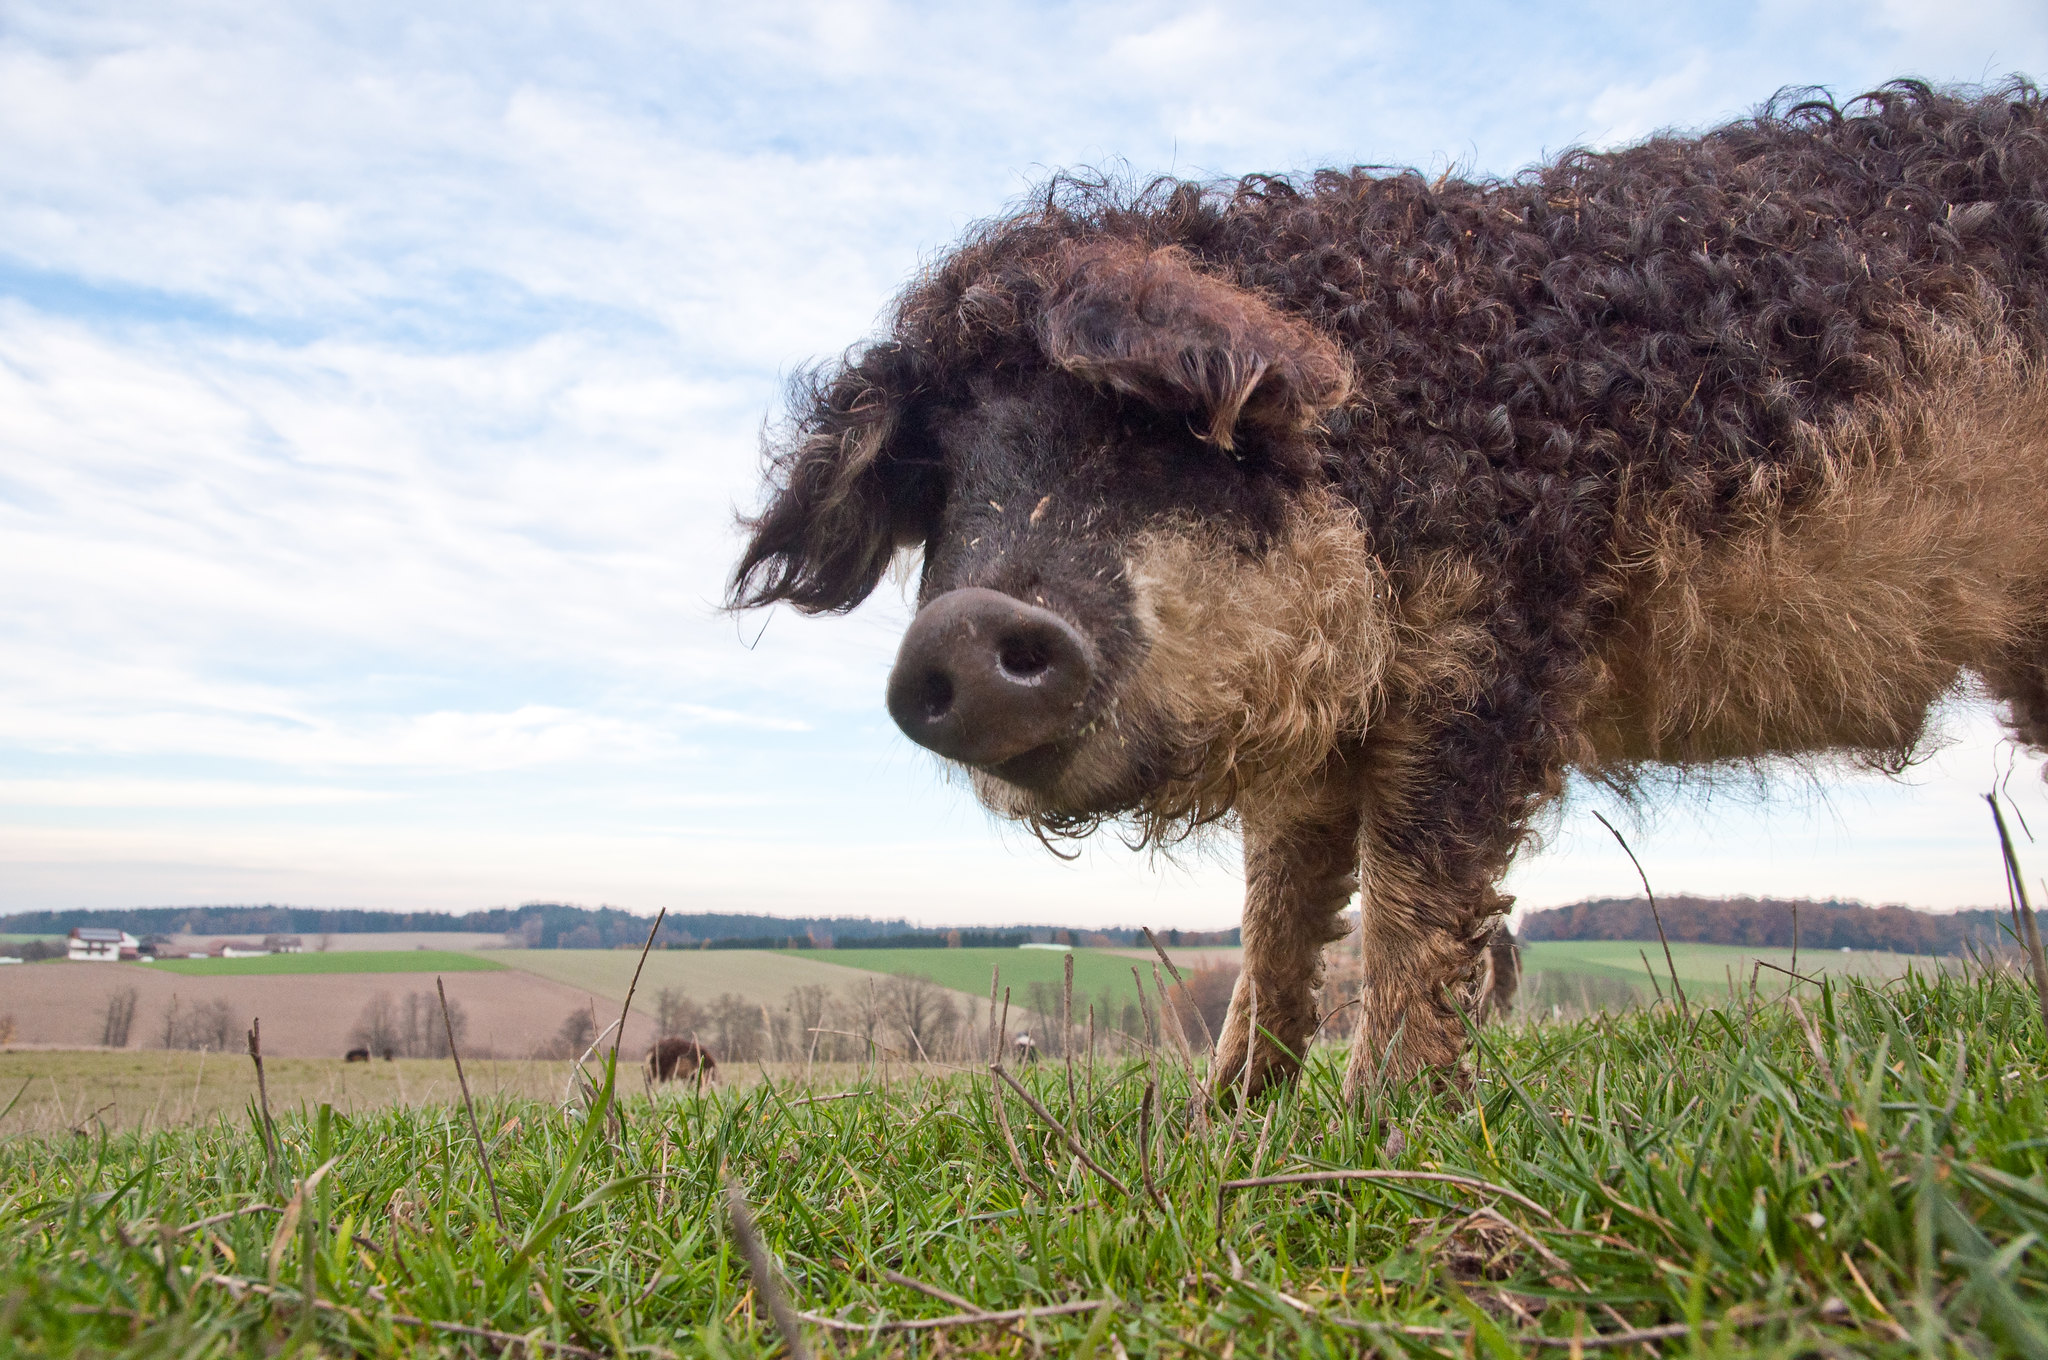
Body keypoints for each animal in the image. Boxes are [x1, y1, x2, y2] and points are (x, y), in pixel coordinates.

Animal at [731, 80, 2048, 1103]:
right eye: (934, 480)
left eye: (1141, 427)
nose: (964, 626)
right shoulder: (1318, 746)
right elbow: (1275, 914)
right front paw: (1220, 1117)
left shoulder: (1488, 653)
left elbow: (1414, 897)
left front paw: (1386, 1127)